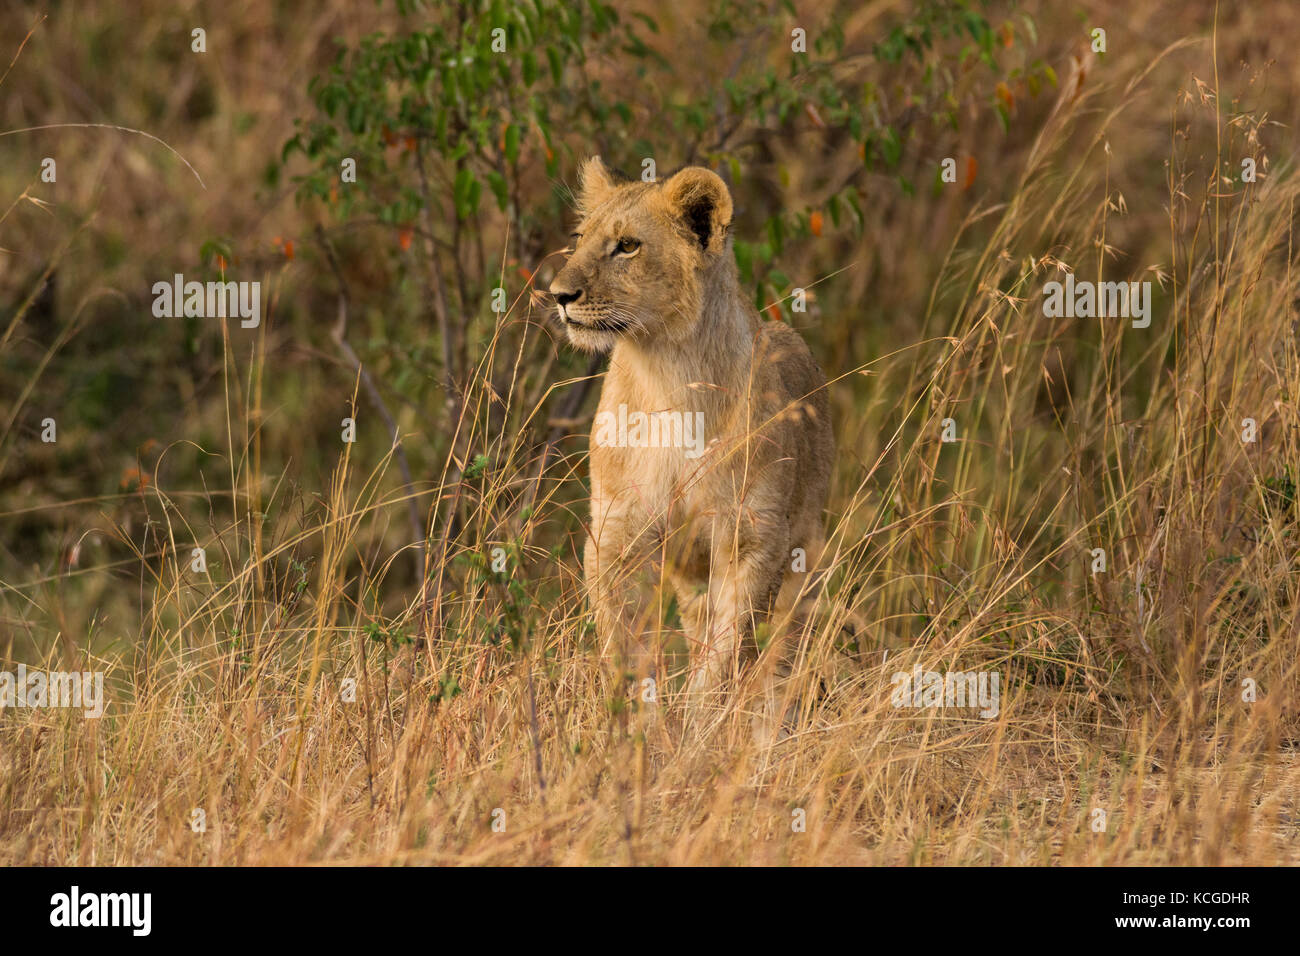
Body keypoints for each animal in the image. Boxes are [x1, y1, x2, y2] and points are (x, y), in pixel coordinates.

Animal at [549, 157, 834, 742]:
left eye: (627, 246)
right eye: (578, 239)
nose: (558, 295)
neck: (669, 376)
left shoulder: (753, 539)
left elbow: (726, 655)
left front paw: (700, 735)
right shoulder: (615, 536)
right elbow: (625, 648)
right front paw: (638, 734)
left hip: (805, 555)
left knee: (782, 654)